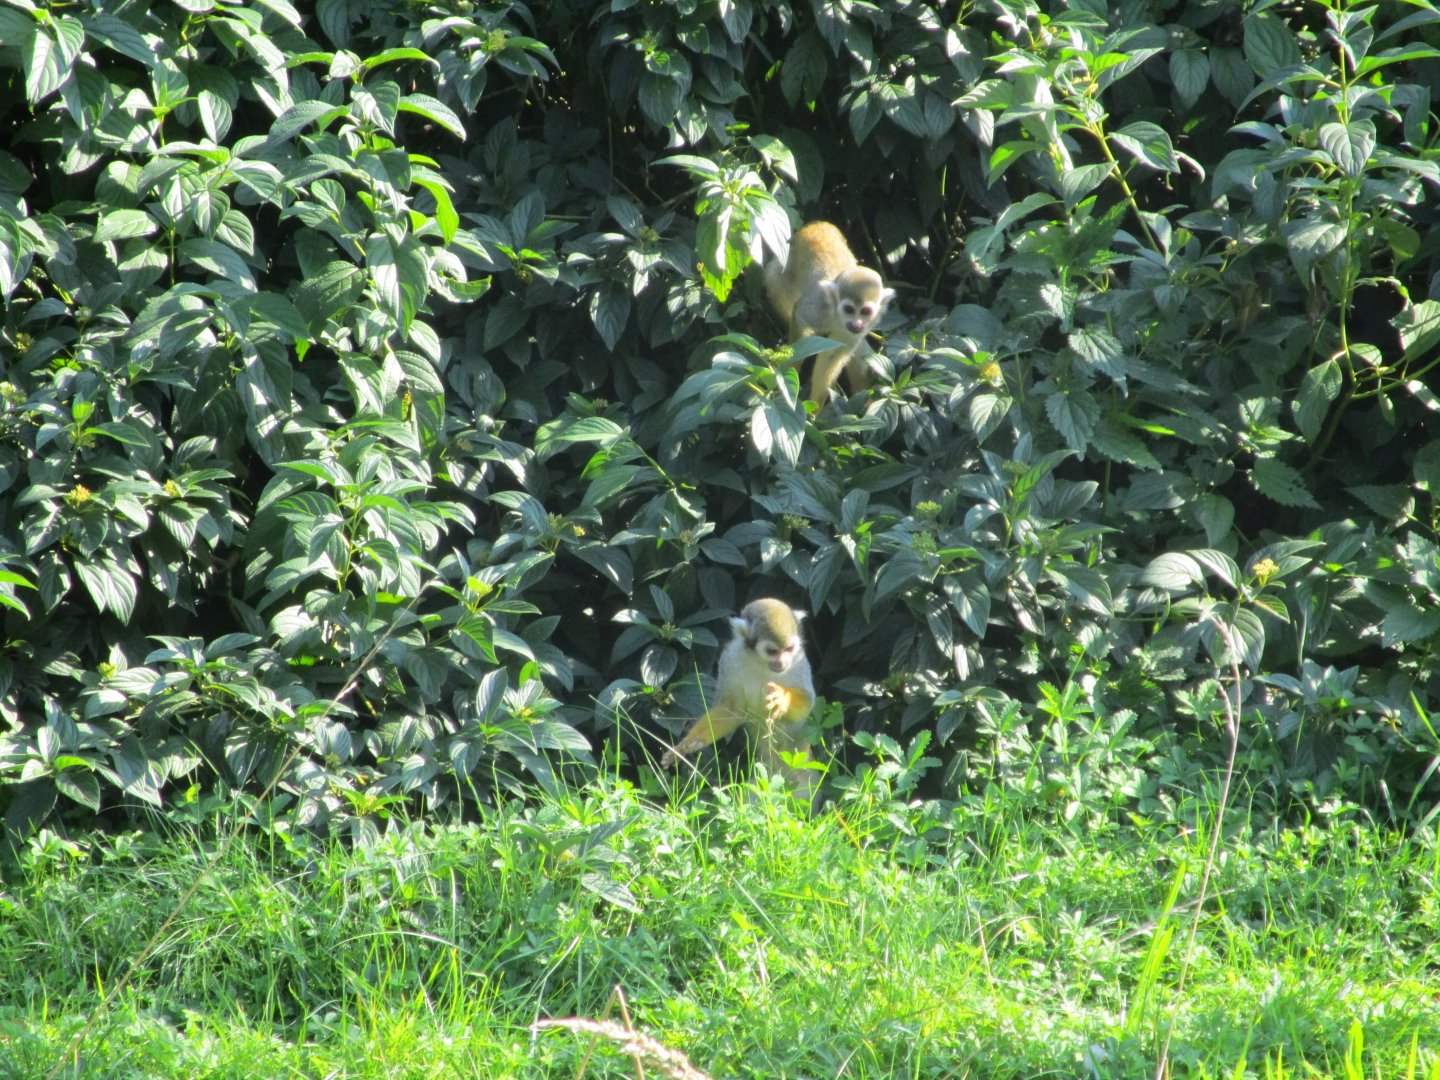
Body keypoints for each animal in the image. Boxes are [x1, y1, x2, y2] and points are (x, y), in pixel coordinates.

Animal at [660, 598, 819, 804]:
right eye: (772, 651)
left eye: (789, 649)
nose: (782, 663)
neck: (760, 662)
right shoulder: (731, 657)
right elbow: (730, 709)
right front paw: (689, 744)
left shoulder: (799, 661)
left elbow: (807, 702)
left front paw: (783, 699)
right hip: (766, 779)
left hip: (803, 780)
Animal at [763, 220, 895, 405]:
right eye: (849, 309)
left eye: (865, 312)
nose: (856, 323)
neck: (837, 317)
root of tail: (815, 223)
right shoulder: (819, 306)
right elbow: (799, 317)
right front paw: (789, 369)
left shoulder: (856, 330)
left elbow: (833, 355)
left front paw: (815, 406)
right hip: (786, 267)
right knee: (774, 277)